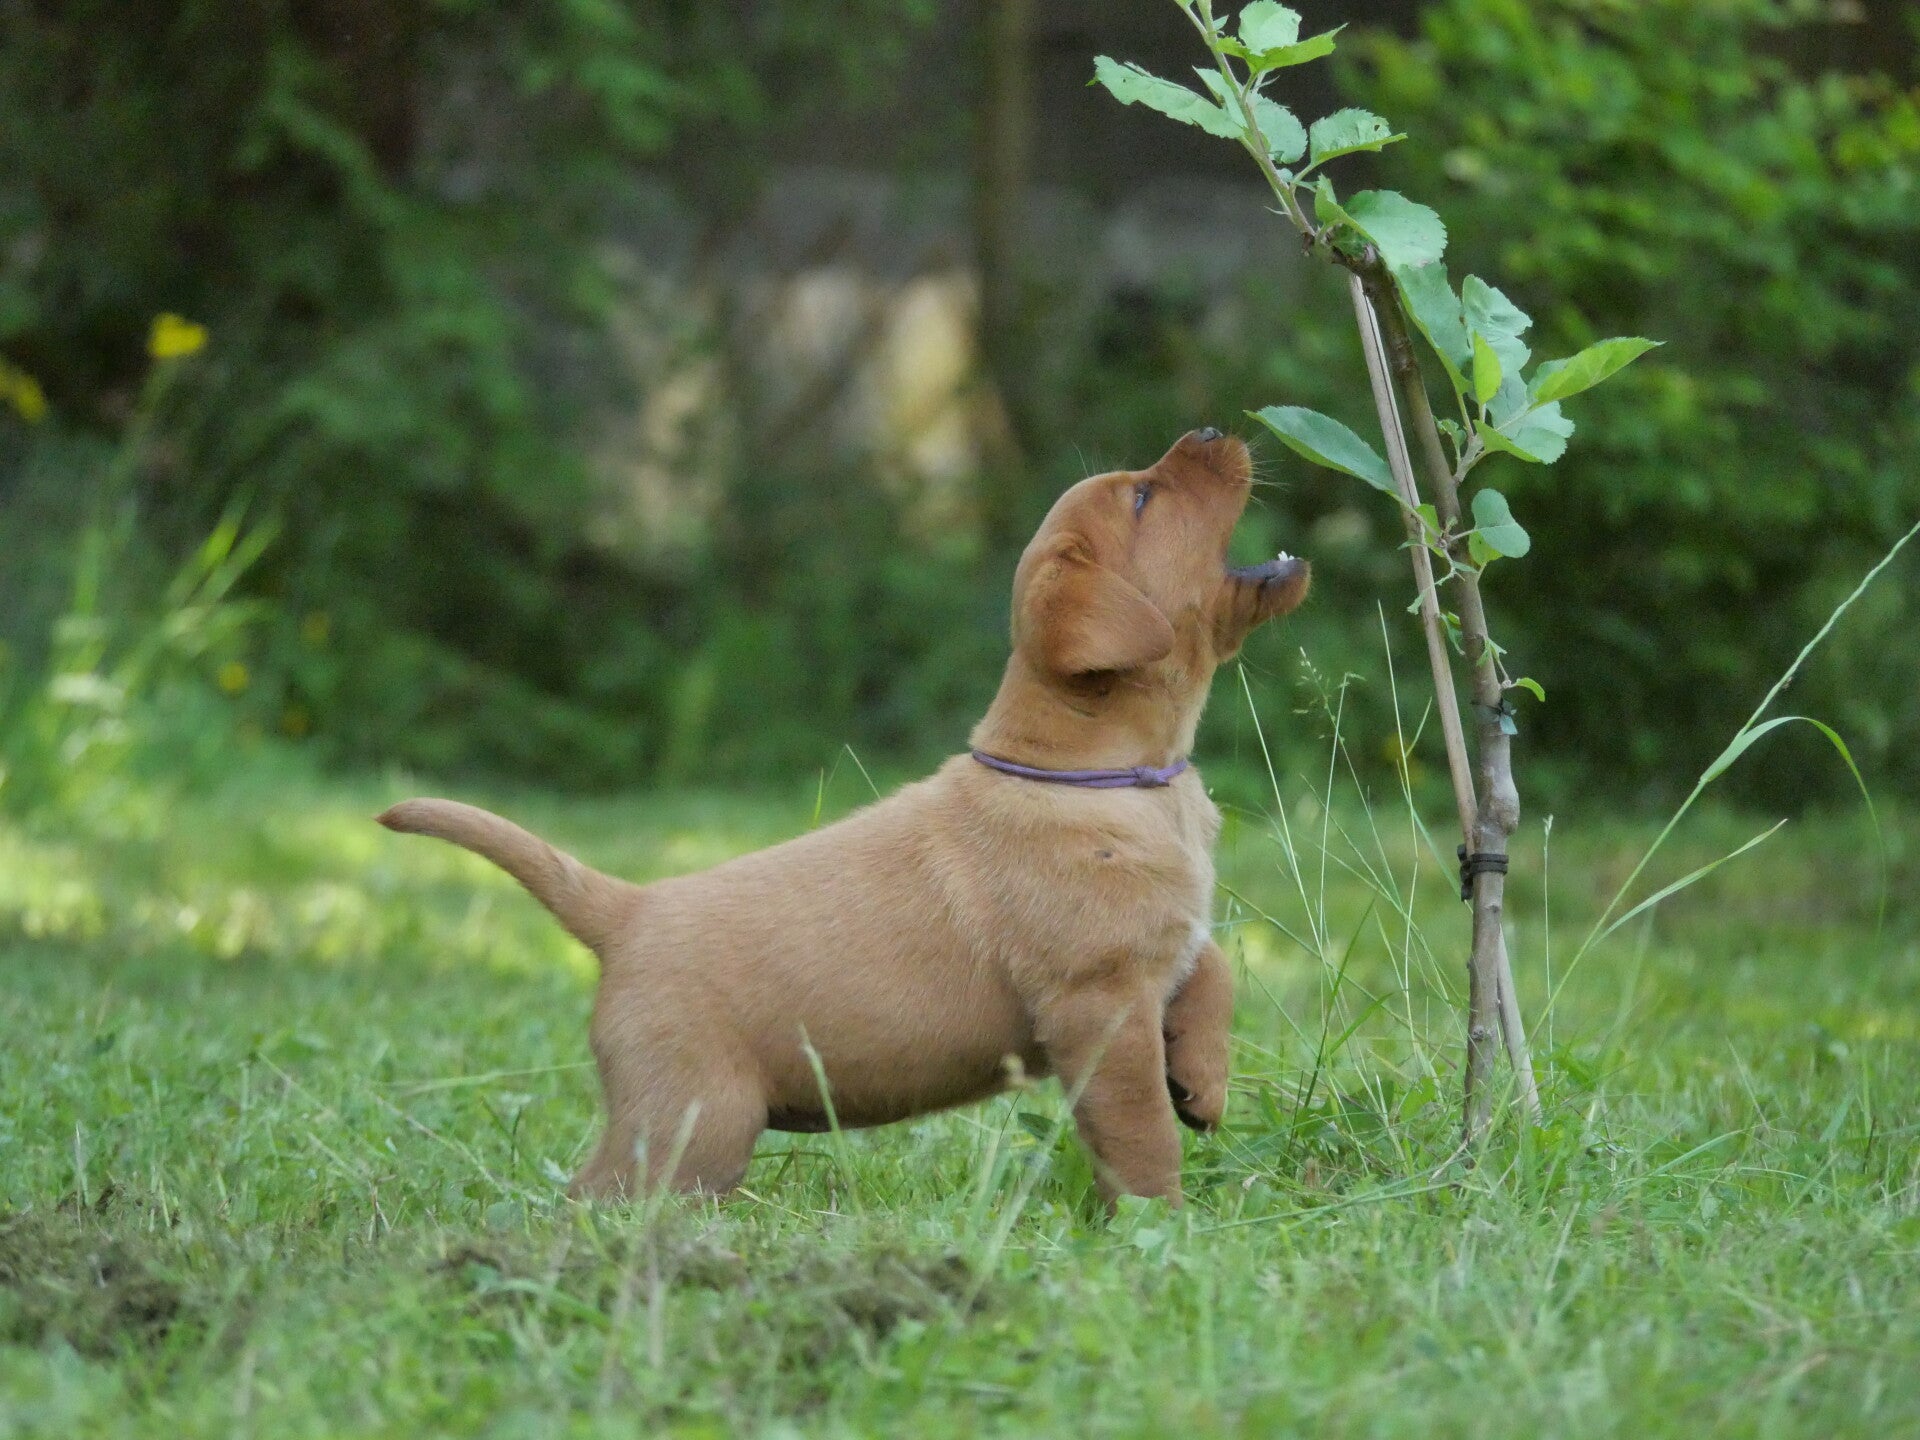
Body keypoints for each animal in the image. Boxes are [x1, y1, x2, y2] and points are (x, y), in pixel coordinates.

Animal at [378, 429, 1308, 1205]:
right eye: (1144, 498)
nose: (1212, 428)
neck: (1101, 774)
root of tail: (630, 910)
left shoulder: (1158, 948)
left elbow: (1211, 968)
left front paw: (1204, 1081)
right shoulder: (1099, 1004)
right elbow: (1140, 1133)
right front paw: (1165, 1222)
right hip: (694, 1120)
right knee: (598, 1198)